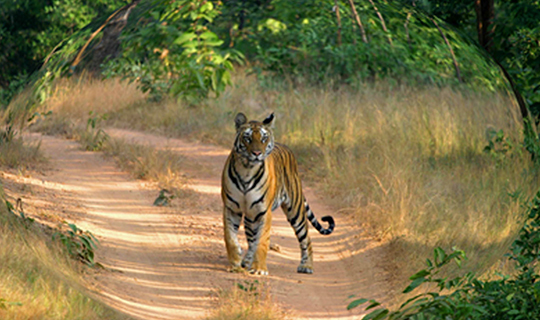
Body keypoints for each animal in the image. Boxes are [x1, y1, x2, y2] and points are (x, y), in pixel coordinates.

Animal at [219, 112, 334, 276]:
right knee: (251, 239)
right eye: (247, 138)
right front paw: (235, 264)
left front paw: (259, 269)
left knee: (306, 239)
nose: (257, 153)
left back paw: (307, 266)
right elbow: (230, 238)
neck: (247, 169)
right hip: (250, 216)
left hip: (295, 211)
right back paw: (247, 261)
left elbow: (262, 241)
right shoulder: (231, 208)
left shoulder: (263, 211)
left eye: (263, 138)